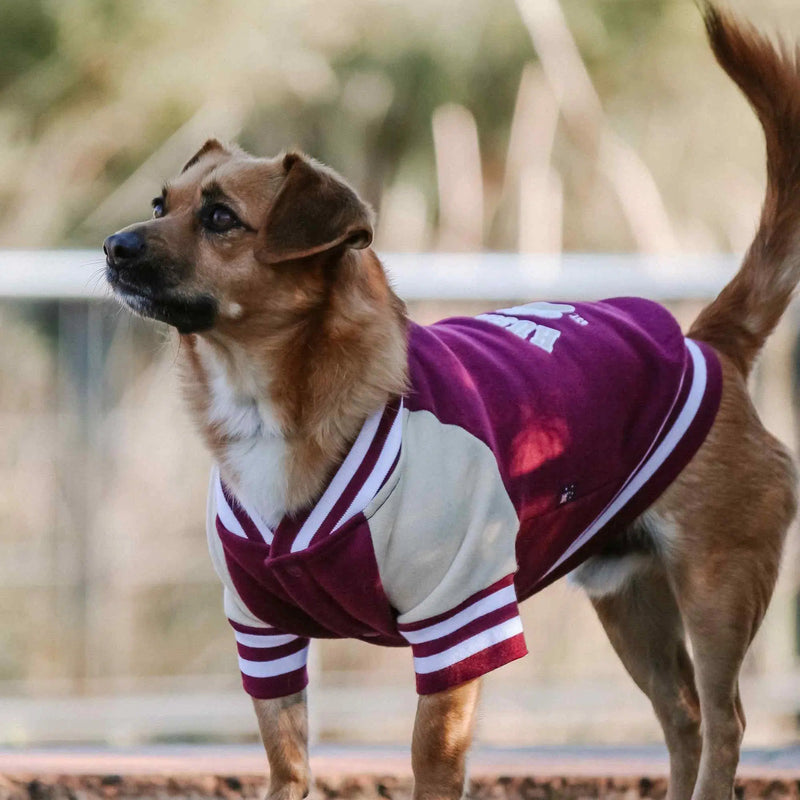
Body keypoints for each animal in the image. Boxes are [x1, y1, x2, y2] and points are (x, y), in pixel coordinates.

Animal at [108, 7, 800, 800]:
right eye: (161, 204)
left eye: (221, 218)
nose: (113, 245)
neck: (269, 400)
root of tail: (705, 345)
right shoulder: (264, 636)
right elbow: (288, 768)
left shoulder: (458, 626)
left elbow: (429, 761)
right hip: (631, 603)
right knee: (682, 717)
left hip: (716, 592)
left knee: (723, 723)